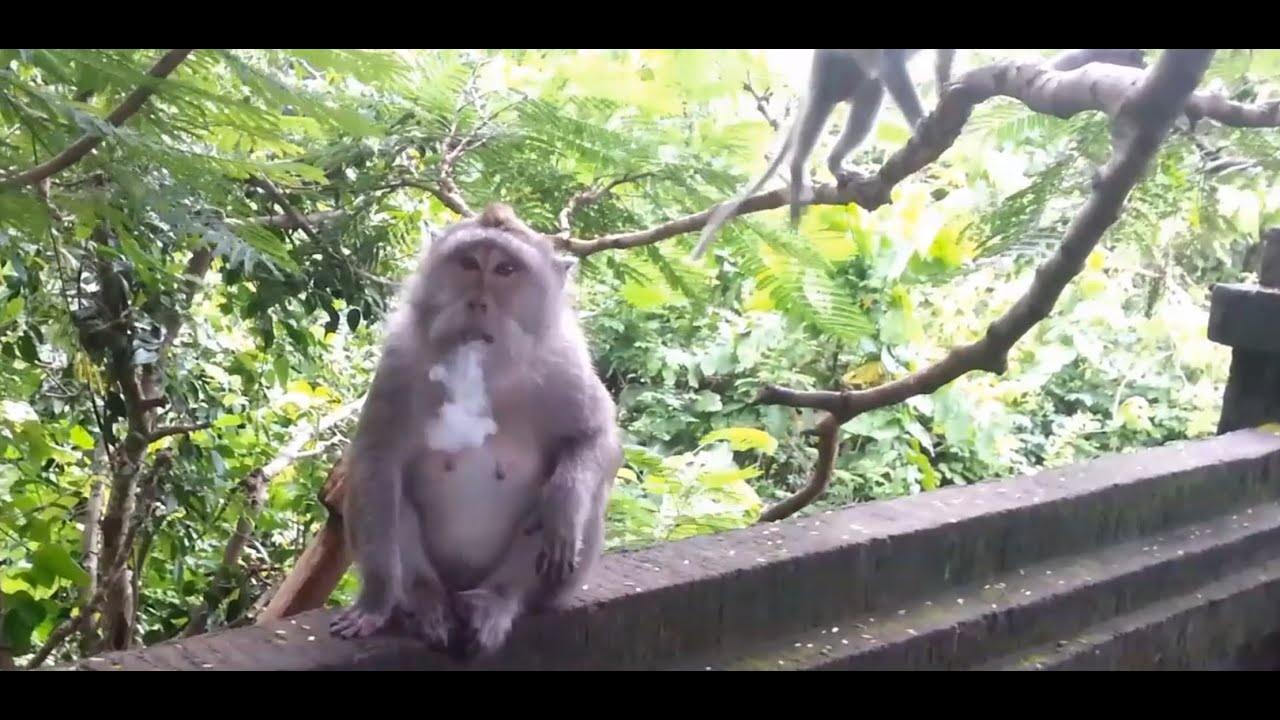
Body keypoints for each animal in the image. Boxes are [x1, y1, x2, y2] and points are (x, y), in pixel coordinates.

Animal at [329, 203, 623, 662]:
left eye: (505, 269)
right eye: (468, 263)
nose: (477, 302)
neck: (482, 366)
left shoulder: (564, 361)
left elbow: (595, 437)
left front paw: (563, 503)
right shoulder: (400, 358)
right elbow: (377, 459)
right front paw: (374, 603)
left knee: (579, 507)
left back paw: (498, 599)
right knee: (388, 497)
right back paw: (424, 601)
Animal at [691, 49, 954, 261]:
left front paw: (945, 88)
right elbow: (891, 62)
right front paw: (922, 121)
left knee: (871, 87)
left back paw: (835, 162)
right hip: (828, 63)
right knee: (823, 101)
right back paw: (798, 170)